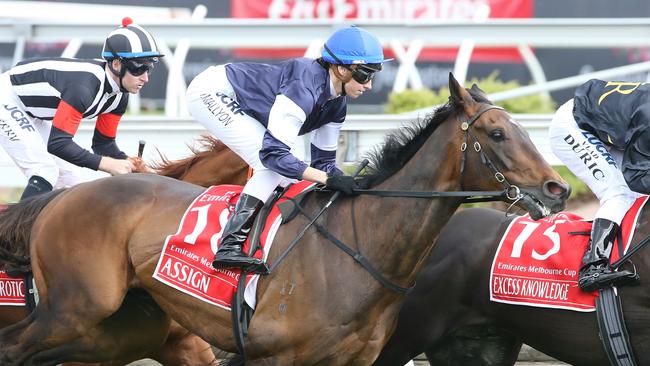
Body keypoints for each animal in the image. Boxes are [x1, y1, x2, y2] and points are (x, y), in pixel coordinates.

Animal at [0, 73, 568, 364]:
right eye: (497, 133)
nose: (557, 188)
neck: (359, 247)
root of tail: (60, 199)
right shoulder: (271, 357)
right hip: (77, 308)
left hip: (117, 325)